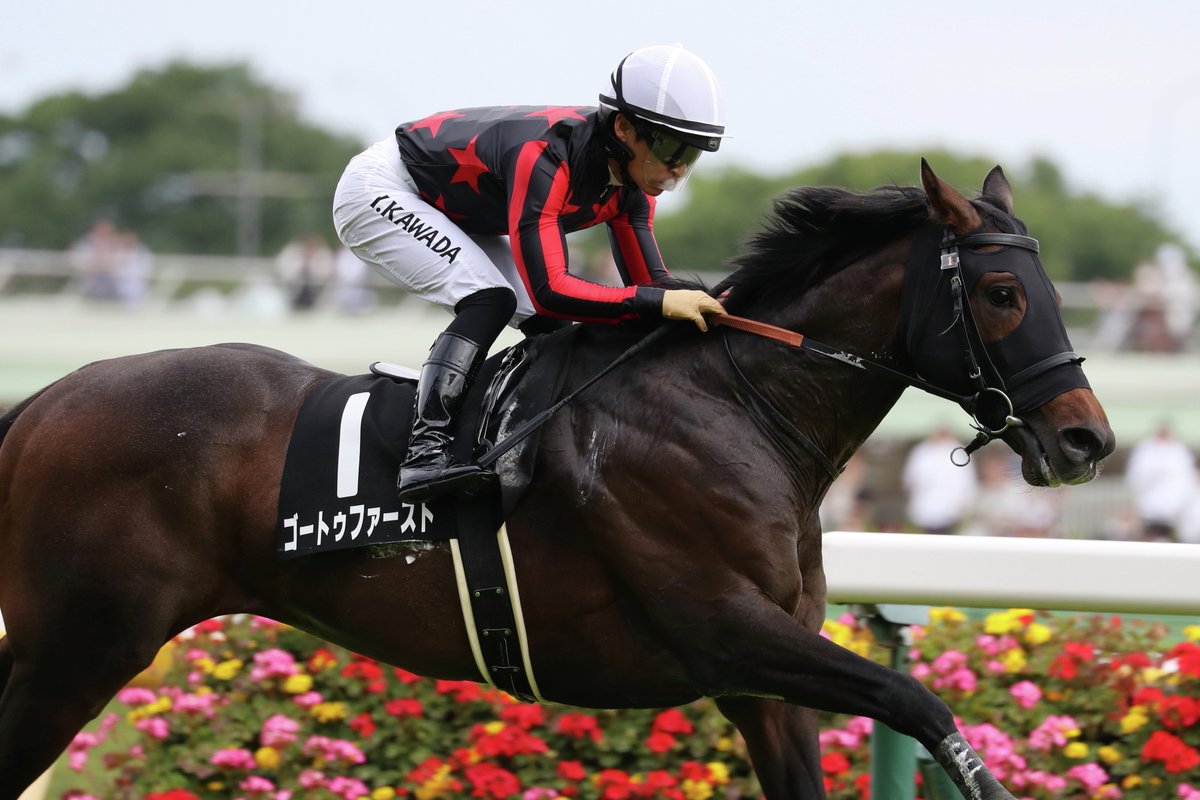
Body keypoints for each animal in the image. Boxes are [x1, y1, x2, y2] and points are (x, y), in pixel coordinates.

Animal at [0, 161, 1113, 800]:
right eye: (1005, 292)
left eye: (1057, 290)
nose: (1088, 437)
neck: (738, 405)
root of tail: (43, 398)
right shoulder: (728, 628)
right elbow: (919, 701)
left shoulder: (761, 685)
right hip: (79, 644)